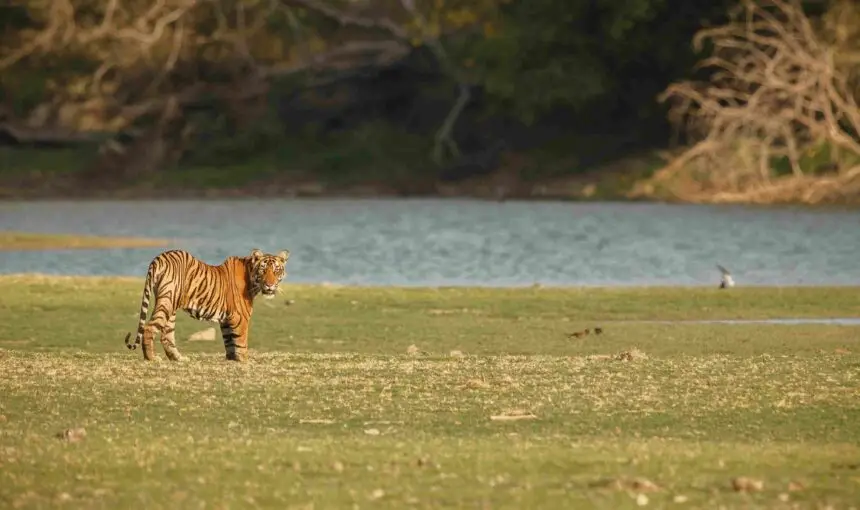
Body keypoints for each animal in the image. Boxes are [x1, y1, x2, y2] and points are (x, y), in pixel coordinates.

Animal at [124, 248, 290, 362]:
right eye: (263, 270)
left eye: (276, 270)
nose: (270, 285)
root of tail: (159, 257)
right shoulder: (240, 318)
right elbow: (241, 342)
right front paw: (244, 360)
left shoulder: (227, 320)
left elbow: (230, 343)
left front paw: (232, 359)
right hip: (168, 300)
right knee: (149, 328)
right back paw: (151, 358)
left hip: (170, 306)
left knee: (167, 335)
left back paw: (178, 358)